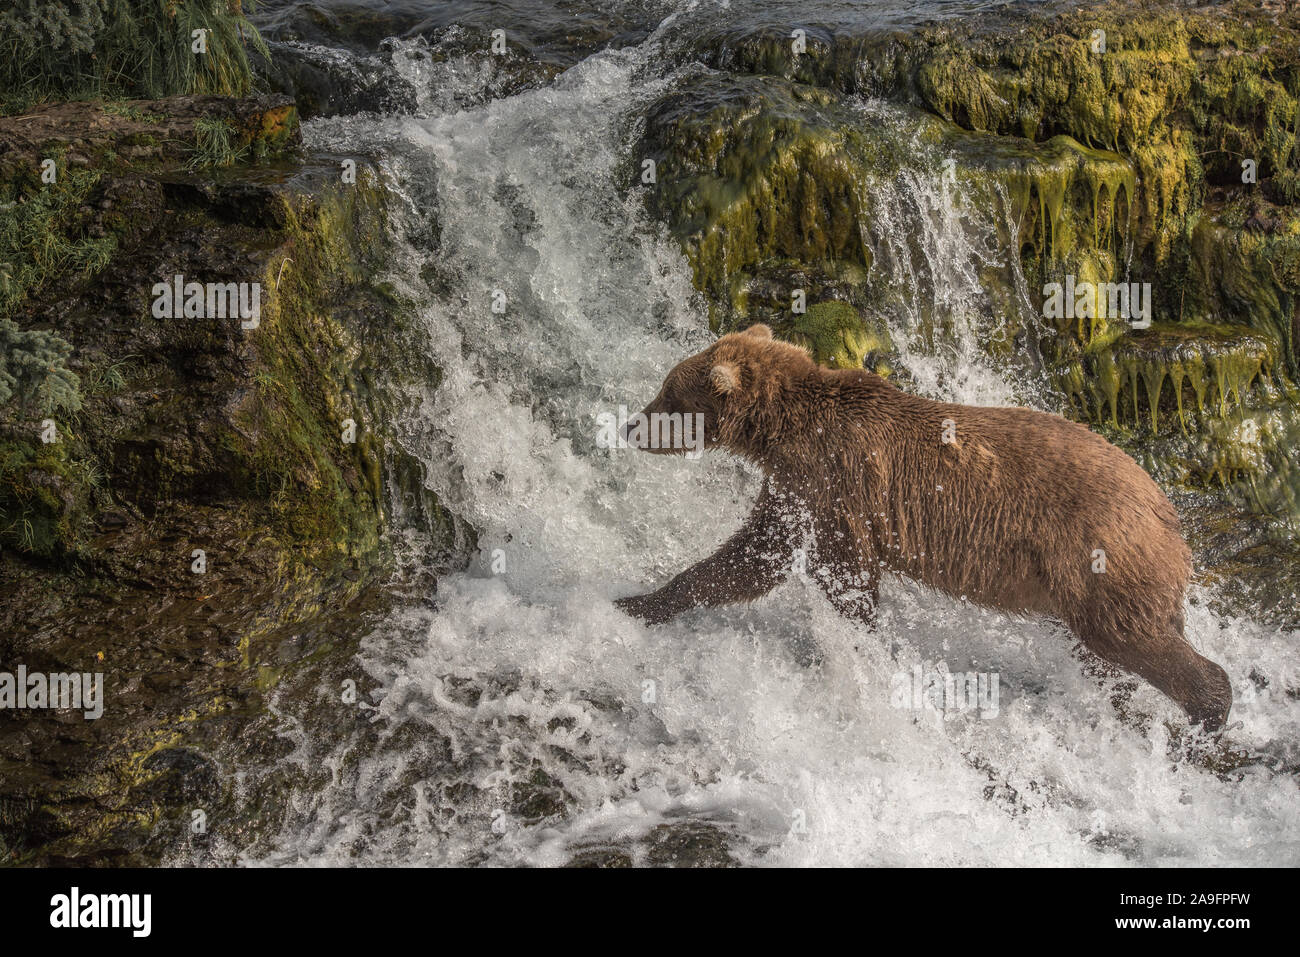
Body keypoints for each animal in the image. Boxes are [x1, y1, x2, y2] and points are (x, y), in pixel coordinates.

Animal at [613, 325, 1232, 728]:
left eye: (668, 394)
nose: (629, 426)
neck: (785, 429)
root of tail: (1168, 512)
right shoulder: (796, 490)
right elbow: (752, 558)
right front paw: (638, 601)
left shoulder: (839, 483)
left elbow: (843, 577)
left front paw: (863, 648)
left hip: (1100, 556)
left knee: (1134, 639)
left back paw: (1210, 711)